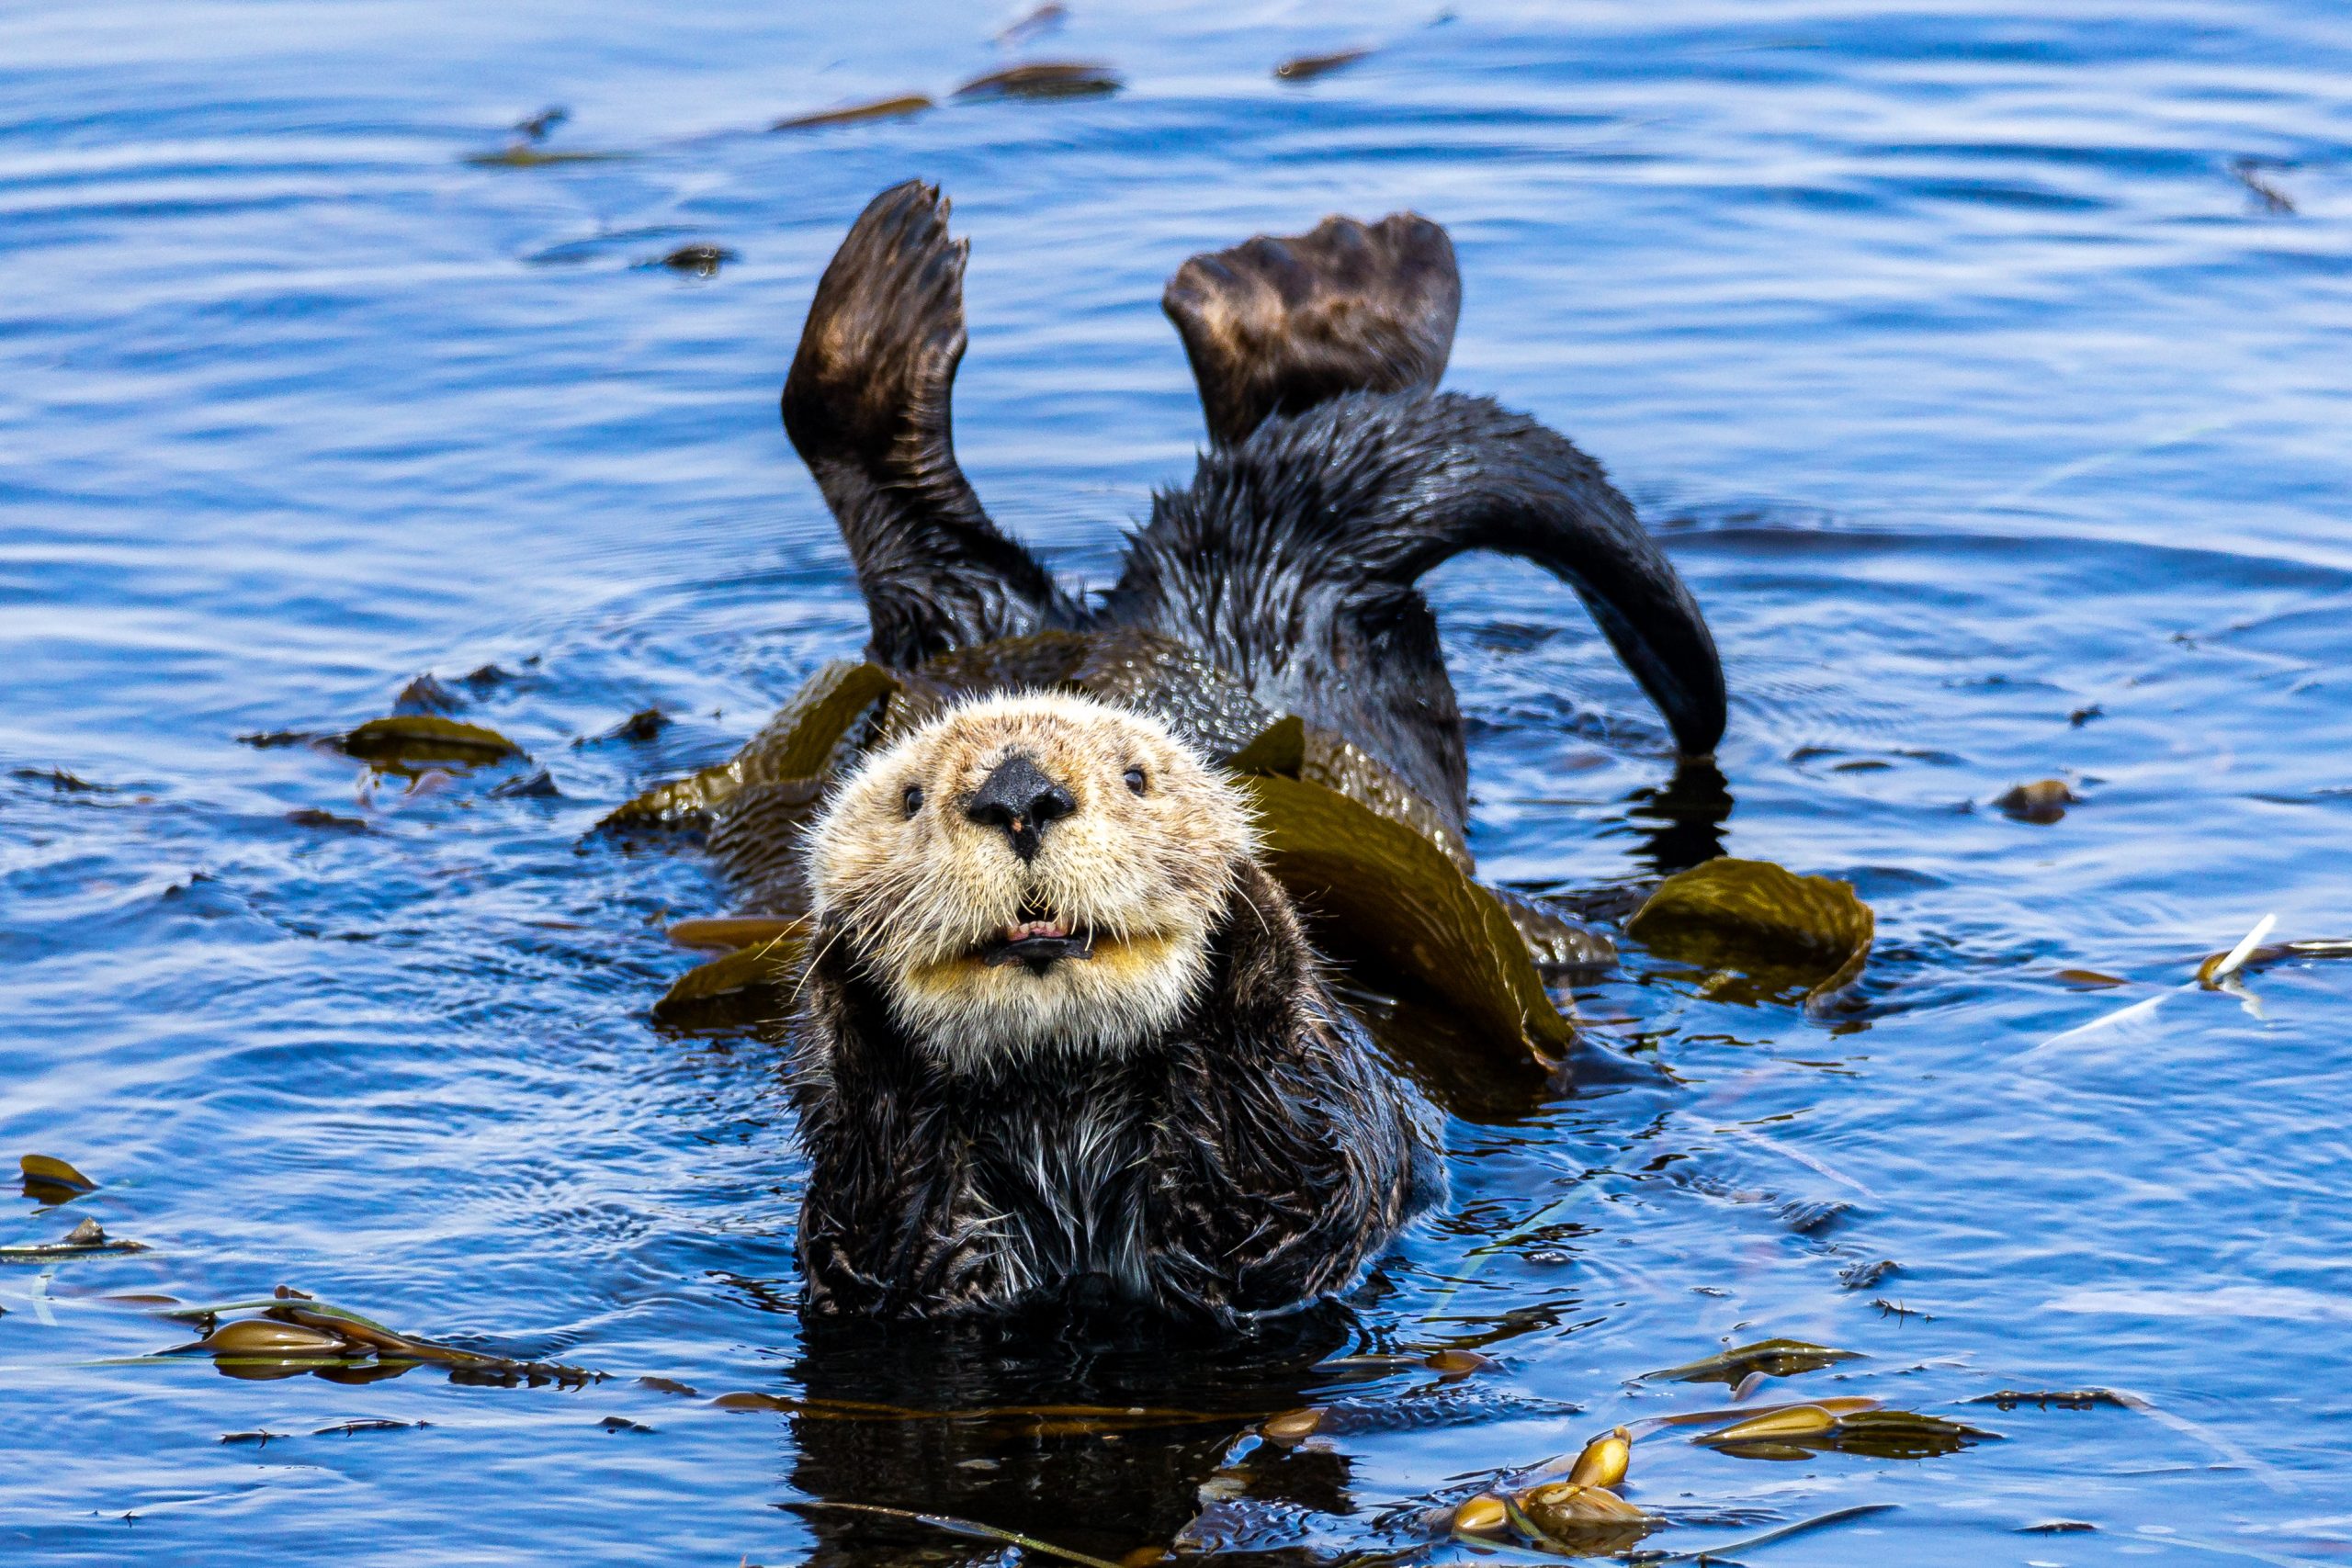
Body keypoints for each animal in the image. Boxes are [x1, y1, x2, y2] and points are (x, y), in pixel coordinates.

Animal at [799, 691, 1439, 1316]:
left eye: (1136, 778)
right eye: (909, 799)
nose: (1018, 794)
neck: (1060, 1091)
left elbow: (1277, 1218)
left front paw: (1245, 900)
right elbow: (892, 1255)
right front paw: (847, 967)